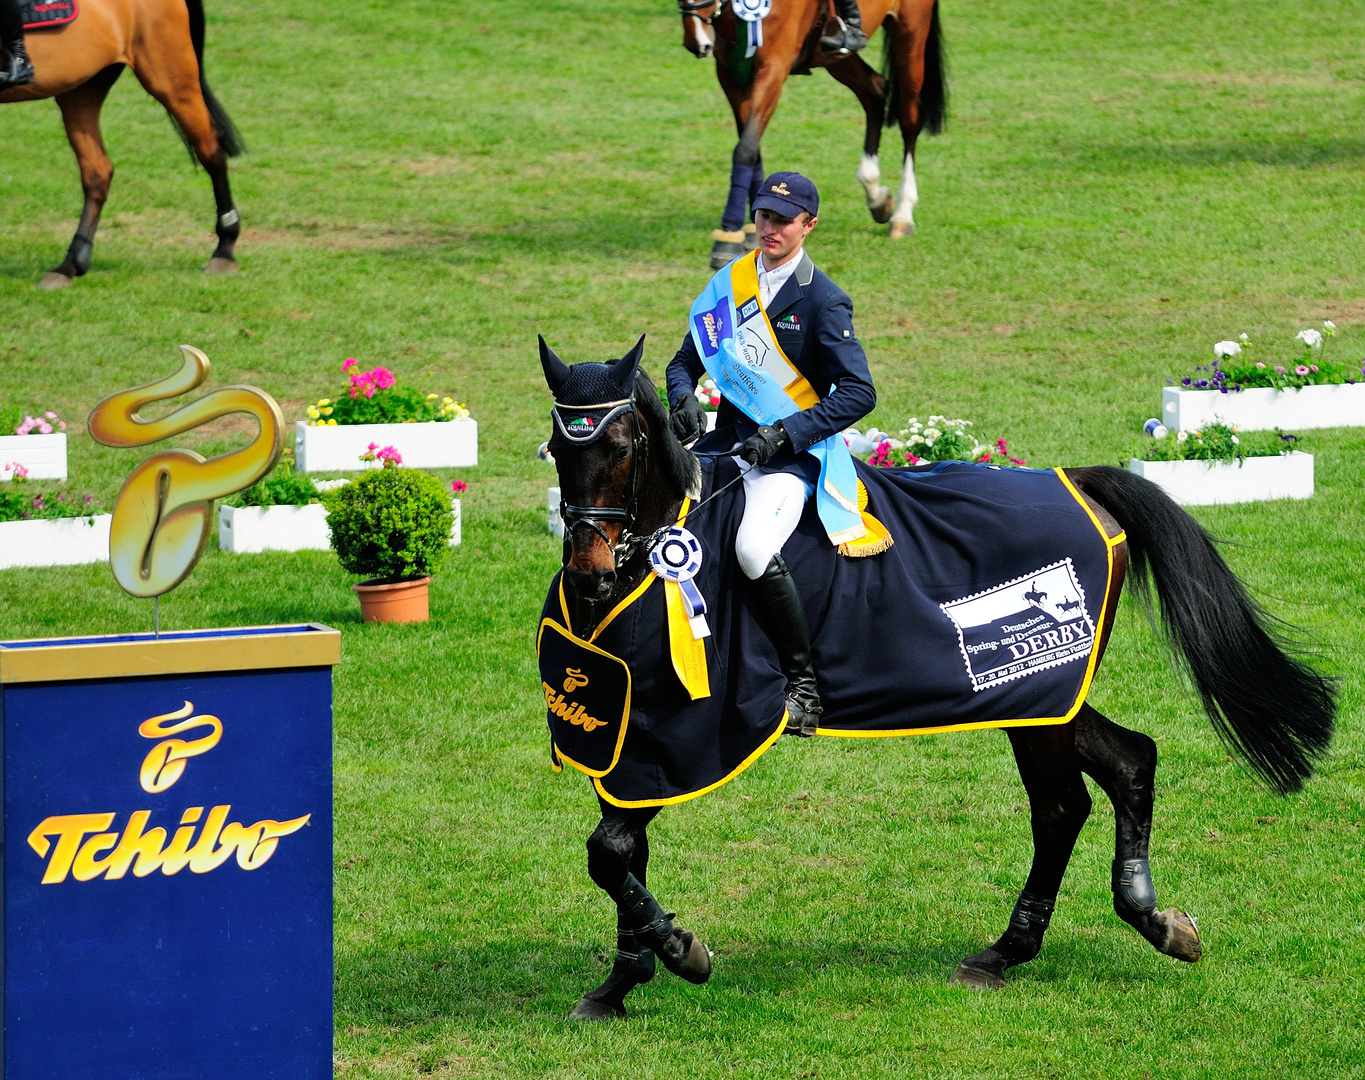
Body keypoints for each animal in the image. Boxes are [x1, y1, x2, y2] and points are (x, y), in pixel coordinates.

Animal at [0, 0, 242, 286]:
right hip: (82, 89)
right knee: (98, 171)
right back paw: (69, 264)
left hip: (171, 79)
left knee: (211, 150)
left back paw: (224, 251)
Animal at [540, 344, 1332, 1021]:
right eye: (557, 448)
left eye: (622, 448)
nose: (588, 573)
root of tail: (1079, 483)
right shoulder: (629, 741)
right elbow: (620, 853)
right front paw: (617, 986)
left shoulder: (680, 738)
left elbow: (608, 853)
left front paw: (682, 953)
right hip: (1042, 702)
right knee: (1120, 766)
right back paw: (1136, 925)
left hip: (1038, 698)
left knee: (1065, 804)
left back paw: (1033, 945)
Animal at [682, 0, 950, 268]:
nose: (695, 43)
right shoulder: (729, 72)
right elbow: (752, 147)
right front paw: (753, 226)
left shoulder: (773, 67)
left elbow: (745, 149)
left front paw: (727, 236)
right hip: (836, 56)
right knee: (874, 91)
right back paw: (876, 196)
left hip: (911, 30)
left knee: (909, 119)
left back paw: (903, 213)